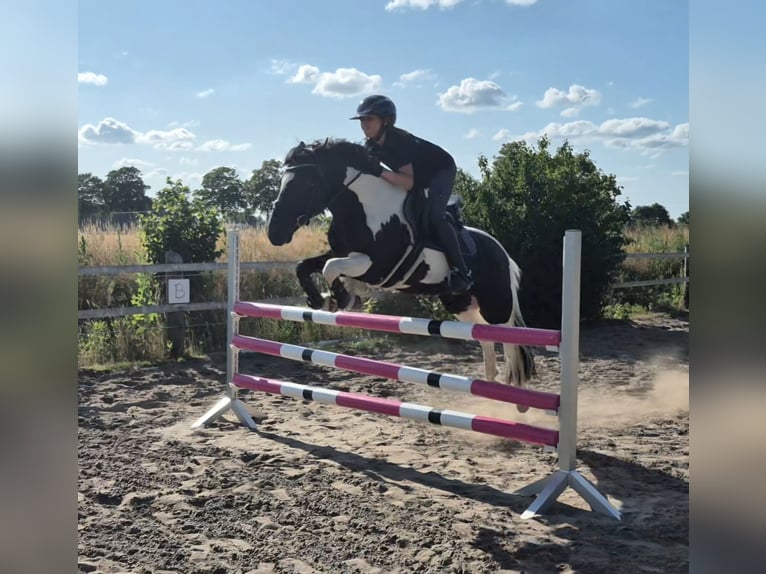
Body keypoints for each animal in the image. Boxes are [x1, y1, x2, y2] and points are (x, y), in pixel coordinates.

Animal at [266, 138, 536, 406]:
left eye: (307, 183)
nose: (274, 232)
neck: (365, 207)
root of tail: (502, 252)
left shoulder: (377, 267)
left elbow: (331, 267)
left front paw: (343, 298)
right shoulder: (341, 252)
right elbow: (306, 265)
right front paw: (320, 299)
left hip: (496, 305)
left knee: (509, 341)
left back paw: (518, 400)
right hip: (460, 304)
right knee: (484, 336)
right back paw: (491, 387)